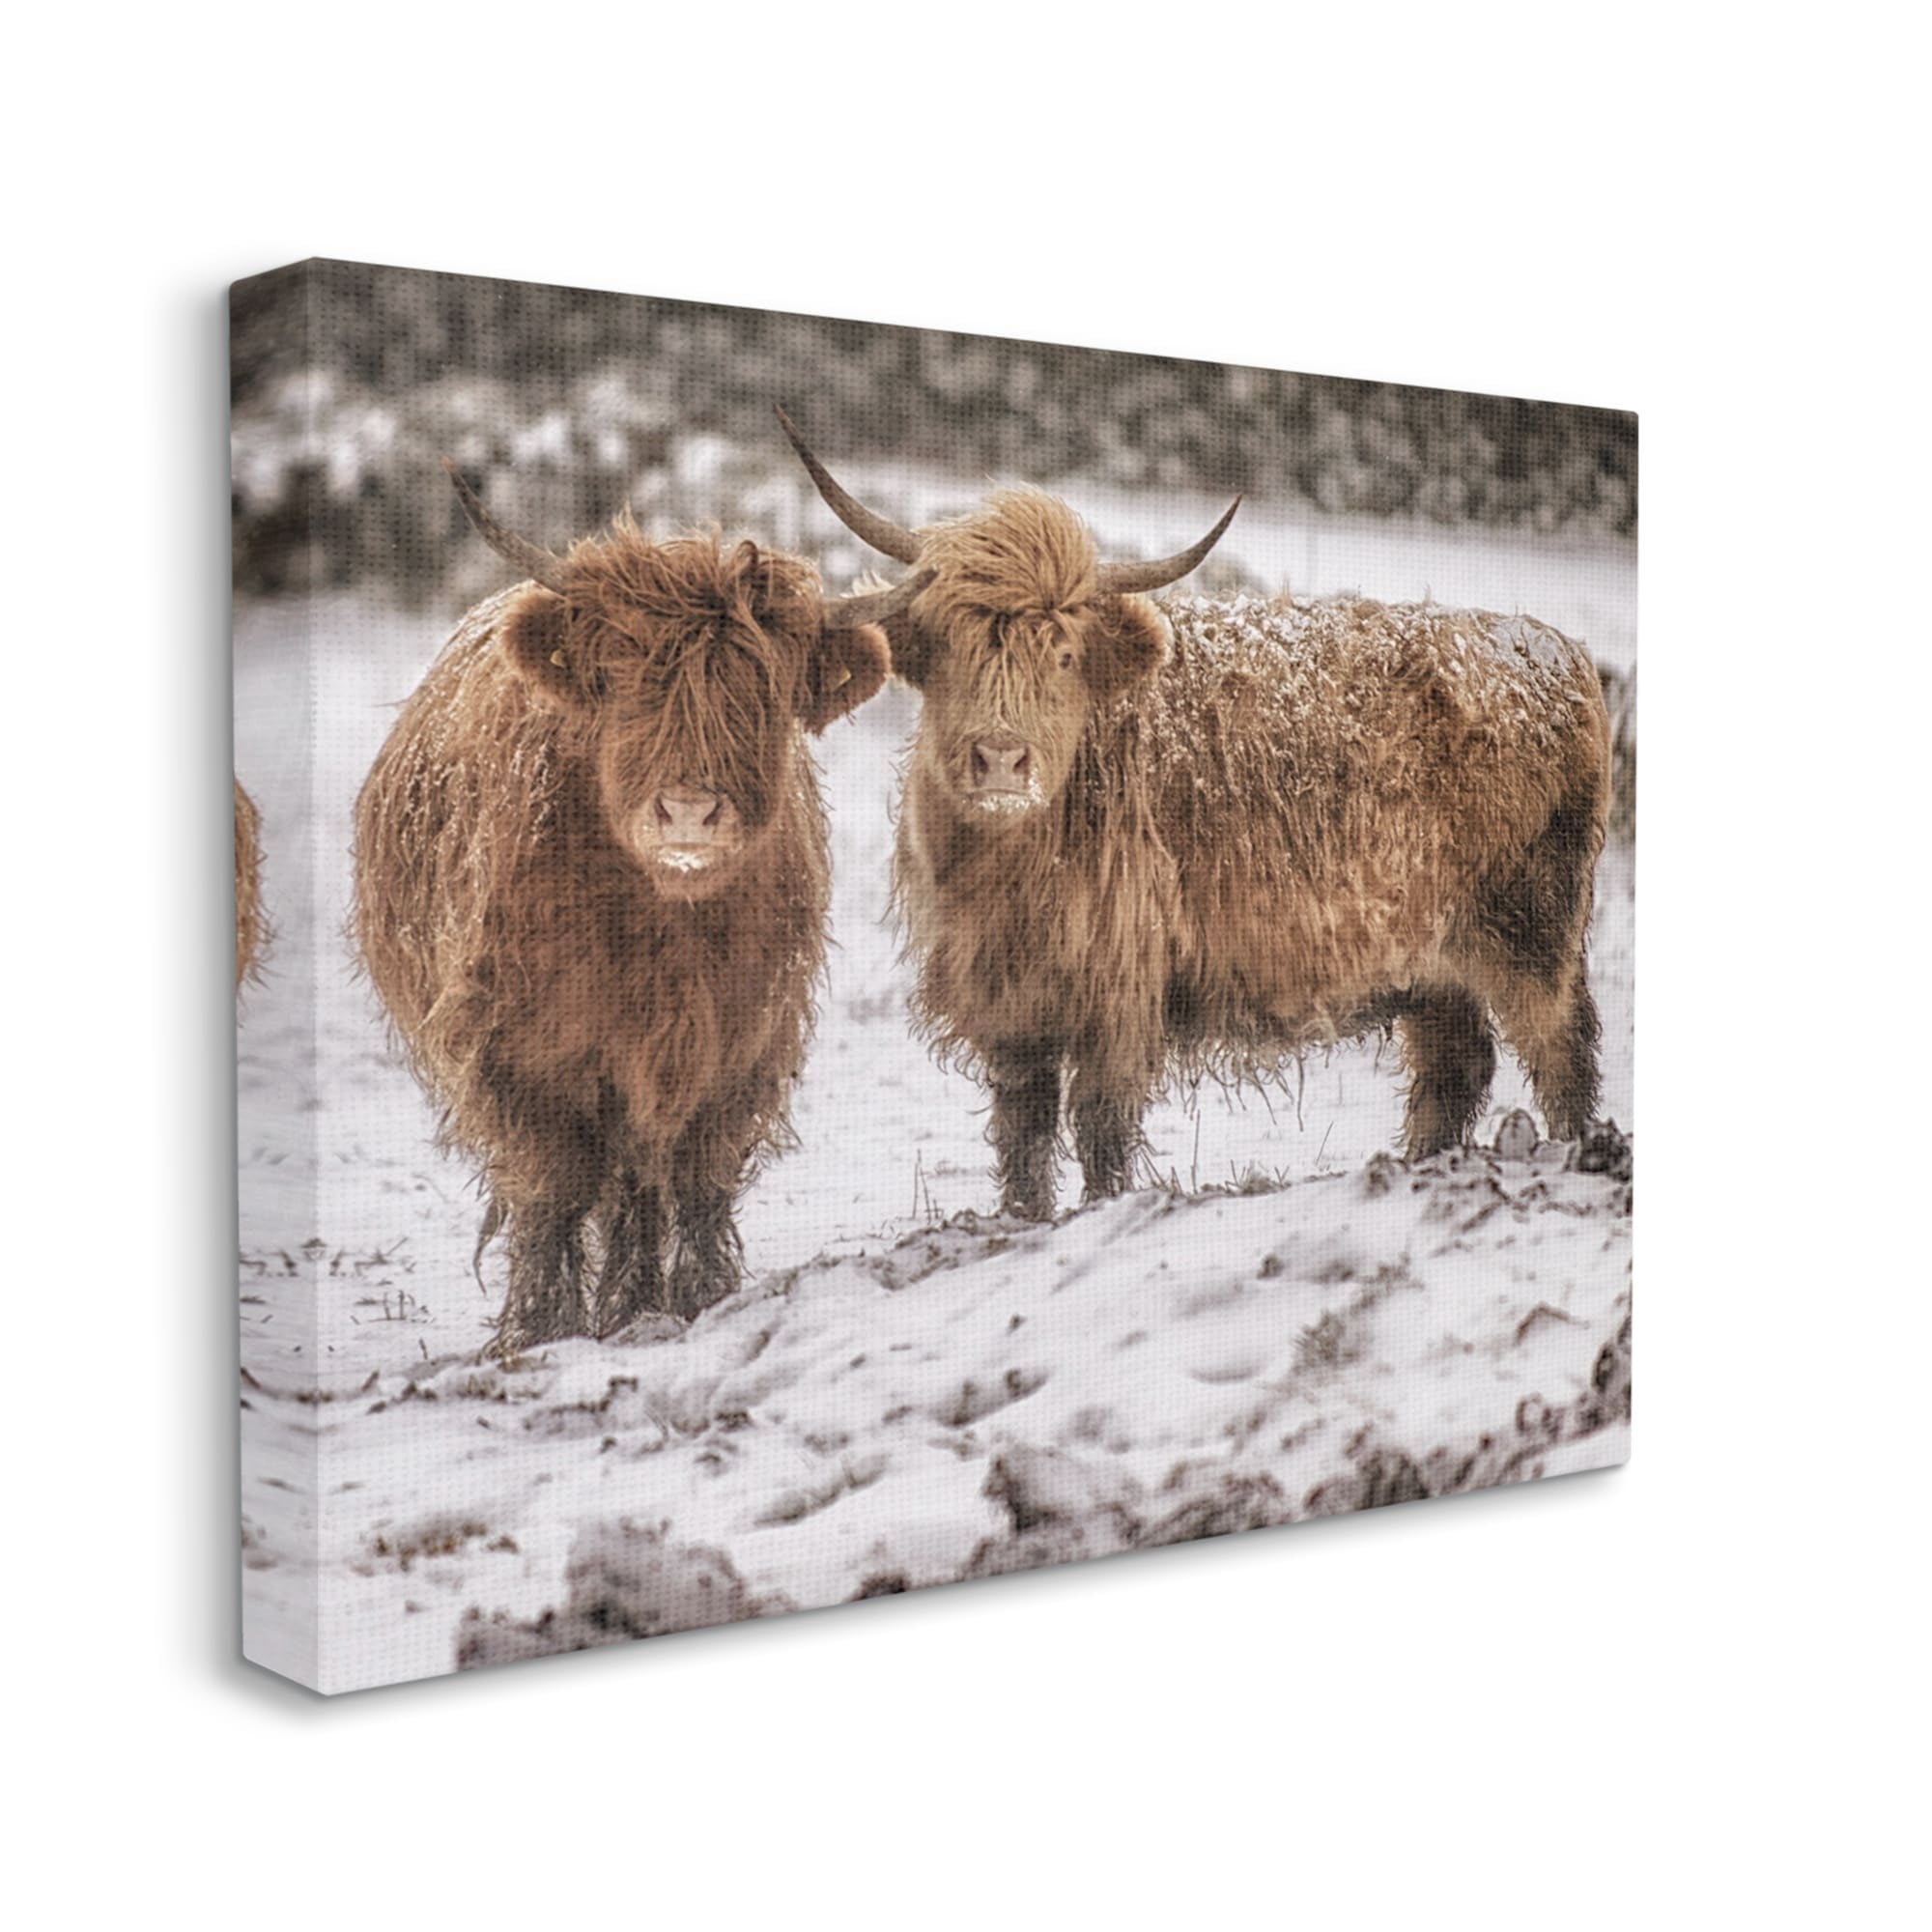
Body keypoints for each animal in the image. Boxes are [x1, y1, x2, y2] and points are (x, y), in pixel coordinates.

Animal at [354, 464, 926, 1351]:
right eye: (623, 684)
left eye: (764, 692)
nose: (689, 812)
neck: (660, 929)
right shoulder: (514, 1051)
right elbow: (553, 1185)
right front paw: (539, 1328)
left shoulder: (740, 1042)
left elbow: (690, 1177)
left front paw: (689, 1301)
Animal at [778, 409, 1610, 1219]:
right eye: (950, 646)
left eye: (1065, 657)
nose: (1002, 760)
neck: (1008, 871)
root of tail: (1554, 651)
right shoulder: (1009, 1003)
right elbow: (1024, 1132)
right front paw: (1024, 1218)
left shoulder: (1118, 987)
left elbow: (1102, 1123)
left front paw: (1102, 1209)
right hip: (1432, 960)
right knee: (1454, 1066)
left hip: (1531, 927)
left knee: (1560, 1049)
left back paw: (1577, 1154)